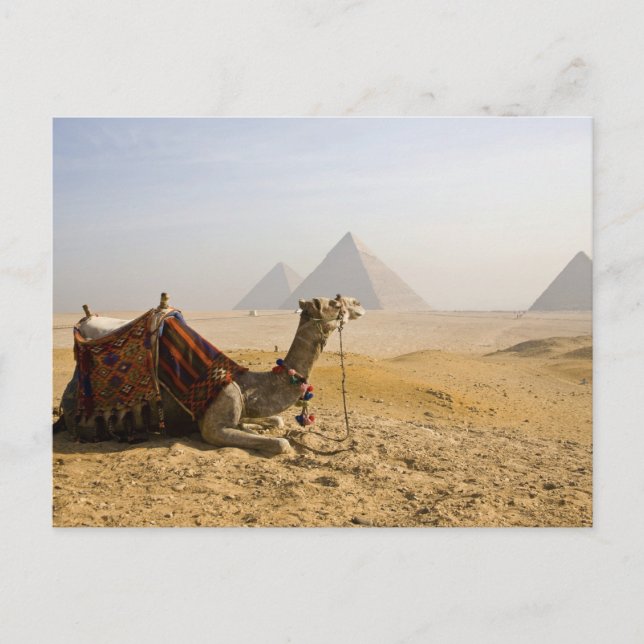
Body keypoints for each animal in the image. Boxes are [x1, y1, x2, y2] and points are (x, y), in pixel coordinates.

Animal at [59, 296, 365, 454]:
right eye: (334, 302)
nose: (359, 303)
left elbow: (275, 420)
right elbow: (281, 443)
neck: (251, 383)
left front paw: (258, 426)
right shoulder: (214, 426)